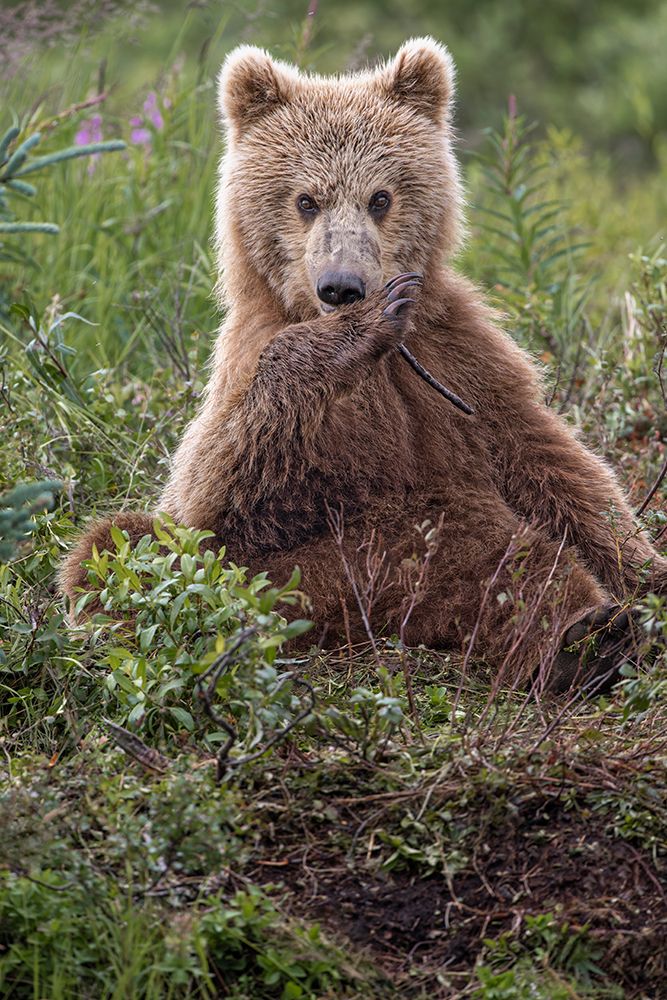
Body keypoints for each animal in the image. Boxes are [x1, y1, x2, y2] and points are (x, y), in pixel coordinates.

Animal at [60, 37, 667, 692]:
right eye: (306, 199)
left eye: (381, 197)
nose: (342, 286)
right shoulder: (250, 371)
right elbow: (216, 497)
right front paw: (346, 337)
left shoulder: (459, 359)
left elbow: (554, 467)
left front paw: (648, 574)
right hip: (296, 574)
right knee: (113, 548)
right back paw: (582, 637)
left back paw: (595, 633)